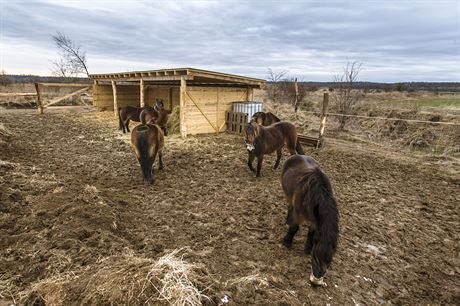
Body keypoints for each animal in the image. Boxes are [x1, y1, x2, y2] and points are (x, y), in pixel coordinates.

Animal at [278, 155, 340, 286]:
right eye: (316, 257)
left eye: (329, 260)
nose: (317, 276)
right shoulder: (298, 213)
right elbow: (294, 228)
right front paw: (287, 242)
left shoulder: (314, 221)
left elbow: (311, 233)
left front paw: (307, 248)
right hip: (289, 196)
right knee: (290, 208)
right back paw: (287, 221)